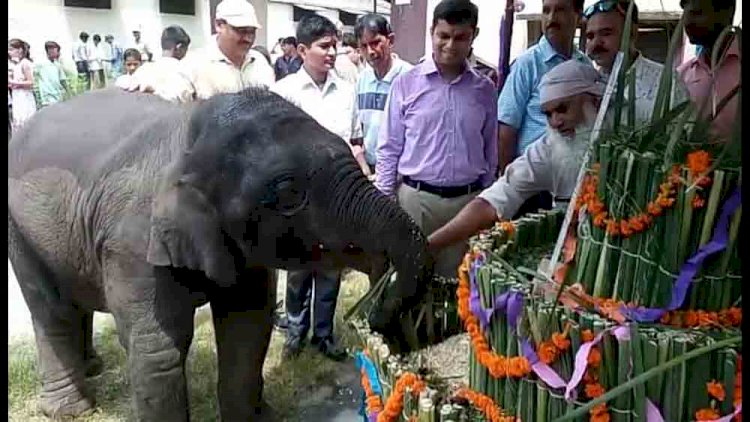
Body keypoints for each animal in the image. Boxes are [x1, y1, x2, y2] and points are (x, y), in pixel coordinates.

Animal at [5, 87, 432, 420]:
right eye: (288, 193)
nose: (380, 313)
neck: (188, 136)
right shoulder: (133, 246)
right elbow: (158, 349)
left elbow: (248, 324)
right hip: (18, 231)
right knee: (51, 308)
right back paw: (69, 409)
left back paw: (92, 366)